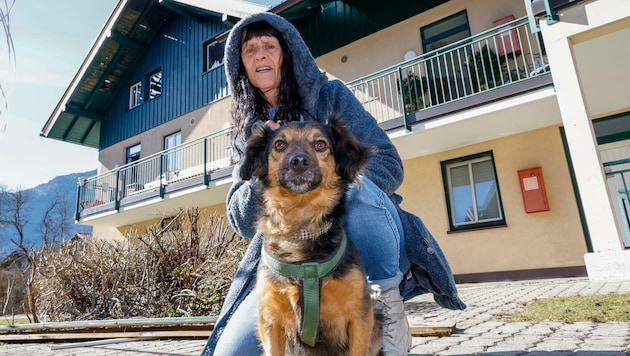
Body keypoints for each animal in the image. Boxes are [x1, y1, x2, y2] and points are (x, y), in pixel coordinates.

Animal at [239, 115, 382, 354]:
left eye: (320, 144)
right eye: (280, 144)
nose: (298, 161)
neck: (302, 230)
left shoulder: (360, 315)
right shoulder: (270, 319)